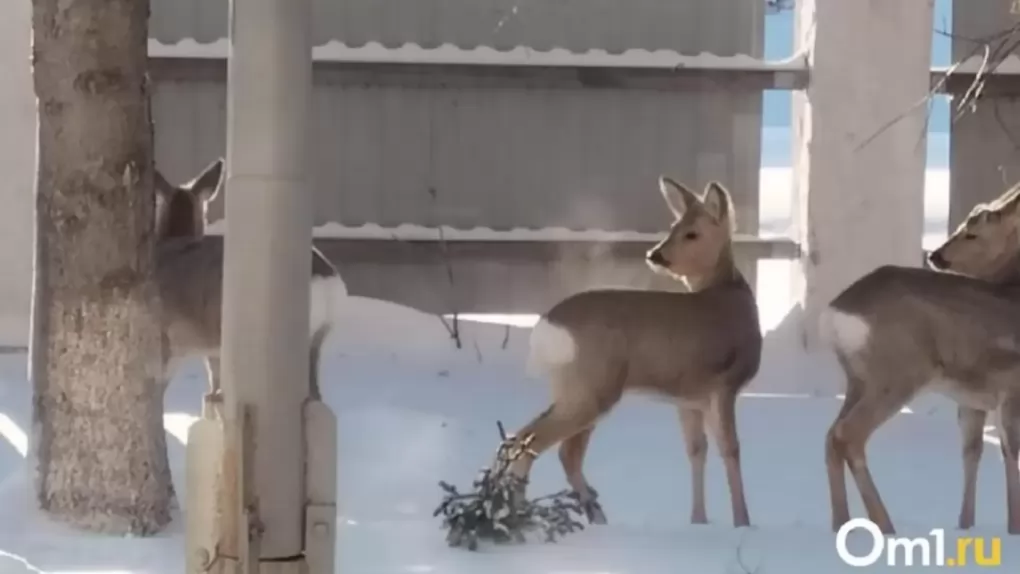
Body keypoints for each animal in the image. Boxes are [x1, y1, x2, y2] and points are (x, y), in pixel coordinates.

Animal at [505, 177, 762, 526]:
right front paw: (742, 523)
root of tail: (547, 326)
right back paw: (524, 514)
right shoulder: (724, 383)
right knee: (538, 442)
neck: (728, 296)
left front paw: (698, 521)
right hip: (595, 386)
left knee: (542, 445)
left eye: (690, 232)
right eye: (675, 226)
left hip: (571, 386)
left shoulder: (688, 397)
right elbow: (731, 449)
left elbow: (696, 451)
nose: (656, 255)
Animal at [820, 183, 1020, 534]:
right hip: (899, 374)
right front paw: (1014, 528)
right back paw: (885, 526)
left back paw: (841, 524)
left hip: (858, 379)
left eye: (973, 231)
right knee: (849, 434)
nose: (936, 255)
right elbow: (1011, 453)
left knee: (832, 436)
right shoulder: (1010, 390)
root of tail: (835, 312)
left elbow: (976, 451)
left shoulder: (977, 398)